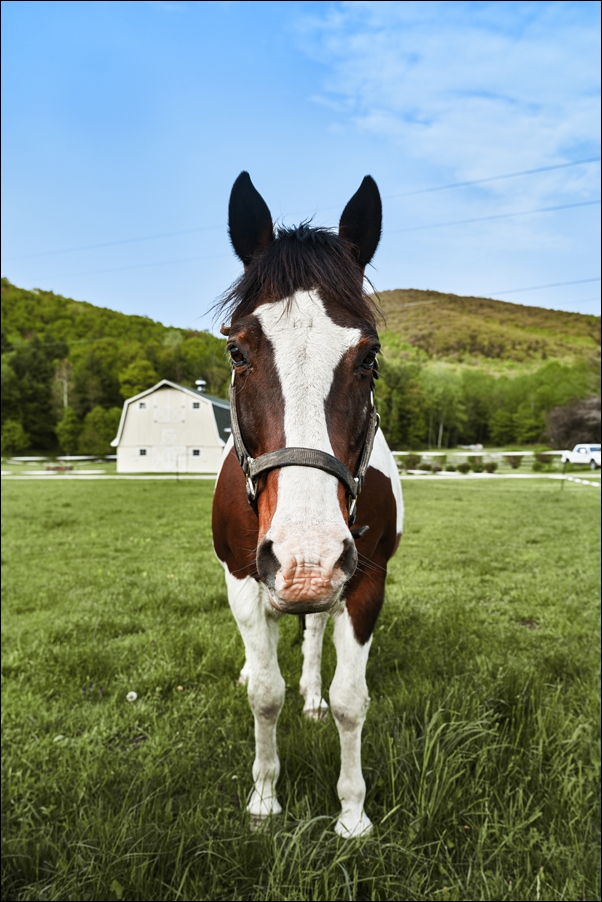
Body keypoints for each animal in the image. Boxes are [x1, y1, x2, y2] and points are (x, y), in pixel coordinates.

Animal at [211, 171, 404, 840]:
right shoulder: (245, 573)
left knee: (315, 631)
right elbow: (265, 694)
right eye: (237, 351)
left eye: (369, 355)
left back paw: (312, 692)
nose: (305, 560)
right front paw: (264, 800)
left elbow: (352, 699)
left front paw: (352, 813)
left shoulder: (365, 578)